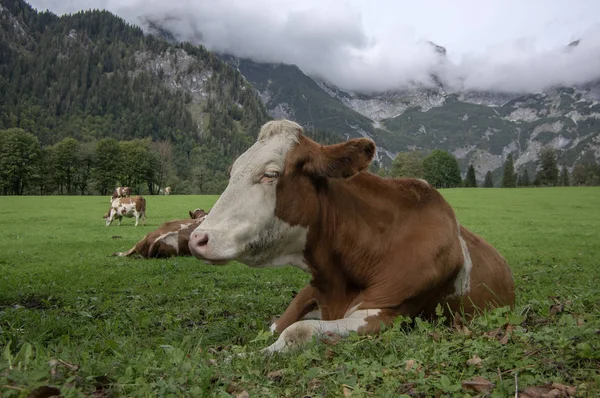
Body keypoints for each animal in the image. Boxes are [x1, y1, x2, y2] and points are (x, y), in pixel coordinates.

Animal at [189, 119, 516, 354]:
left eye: (270, 174)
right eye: (232, 171)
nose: (197, 239)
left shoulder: (388, 312)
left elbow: (296, 331)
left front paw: (246, 355)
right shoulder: (315, 290)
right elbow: (278, 325)